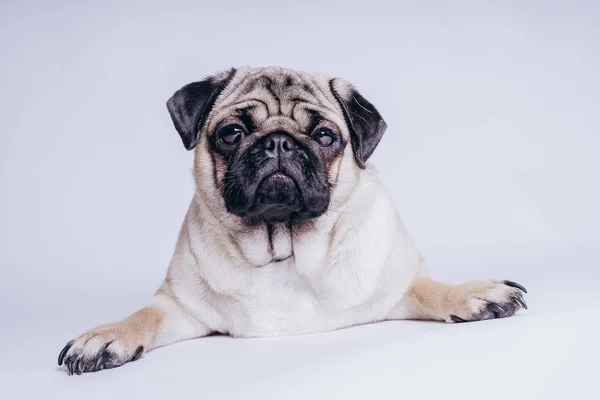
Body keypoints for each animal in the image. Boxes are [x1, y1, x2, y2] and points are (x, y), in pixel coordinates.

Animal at [56, 66, 524, 376]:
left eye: (324, 136)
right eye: (232, 133)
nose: (279, 142)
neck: (283, 249)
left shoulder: (396, 290)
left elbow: (430, 289)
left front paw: (474, 294)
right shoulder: (179, 306)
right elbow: (145, 315)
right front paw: (108, 335)